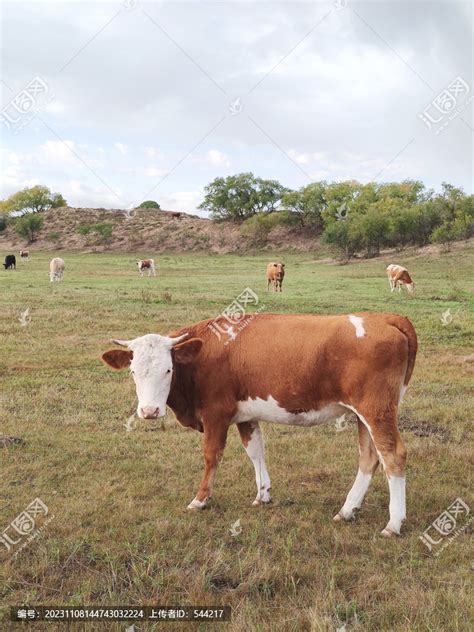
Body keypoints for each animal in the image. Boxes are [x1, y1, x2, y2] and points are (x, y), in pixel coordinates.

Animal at [103, 312, 418, 540]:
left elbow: (211, 456)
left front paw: (200, 500)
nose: (149, 411)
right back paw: (347, 510)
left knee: (393, 456)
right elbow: (255, 451)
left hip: (376, 410)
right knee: (369, 457)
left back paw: (393, 523)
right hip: (364, 414)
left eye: (168, 369)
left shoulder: (216, 414)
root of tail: (385, 317)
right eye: (133, 371)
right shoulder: (246, 415)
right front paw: (262, 494)